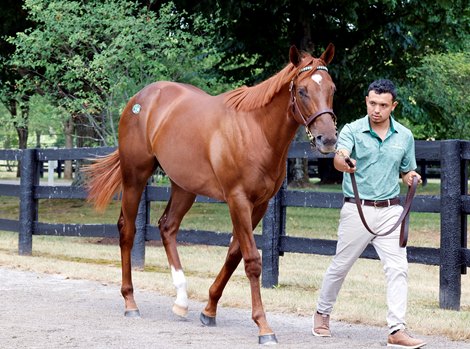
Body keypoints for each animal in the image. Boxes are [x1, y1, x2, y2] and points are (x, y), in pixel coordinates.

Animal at [83, 43, 334, 342]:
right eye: (302, 90)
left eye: (331, 88)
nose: (328, 139)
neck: (256, 130)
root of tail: (140, 99)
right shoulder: (238, 200)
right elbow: (252, 261)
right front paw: (263, 326)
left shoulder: (260, 204)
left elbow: (234, 254)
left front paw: (209, 309)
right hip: (135, 177)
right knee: (128, 230)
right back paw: (130, 302)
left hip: (184, 186)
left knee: (167, 227)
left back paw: (181, 301)